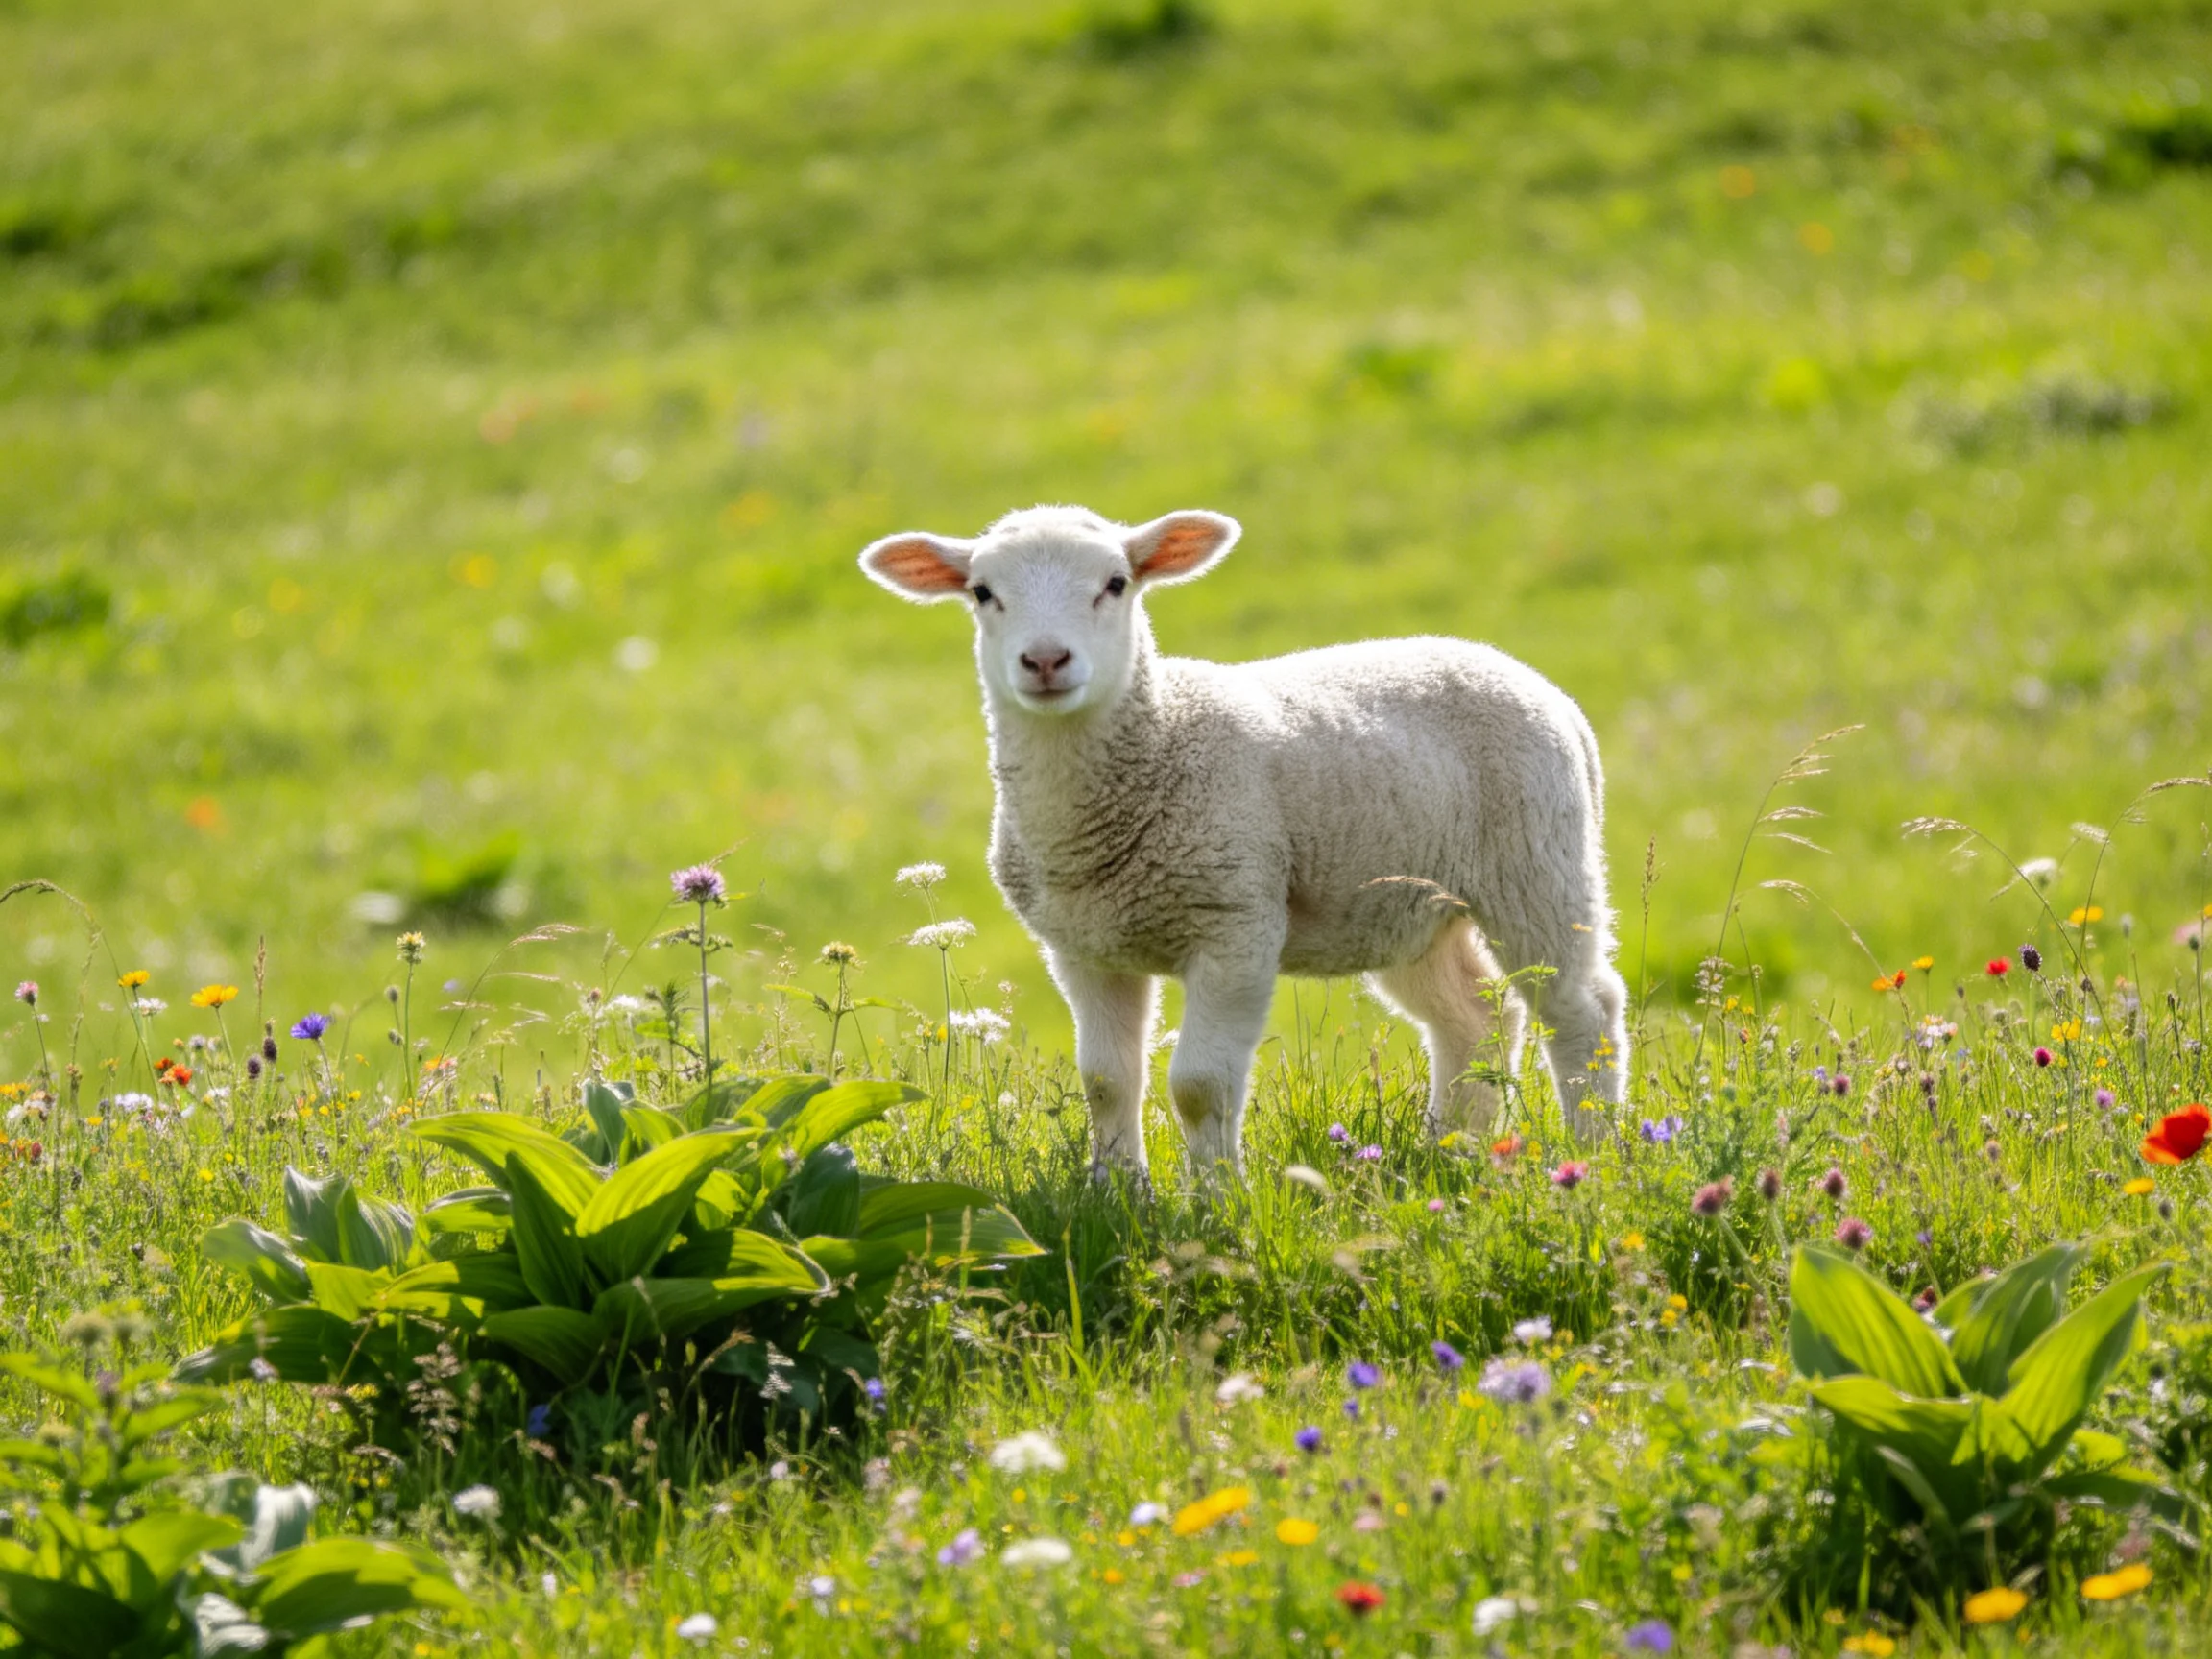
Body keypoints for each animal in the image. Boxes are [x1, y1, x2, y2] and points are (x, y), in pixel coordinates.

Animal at [858, 504, 1628, 1181]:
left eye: (1116, 582)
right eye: (983, 592)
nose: (1046, 660)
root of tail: (1543, 689)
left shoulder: (1235, 923)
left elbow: (1199, 1087)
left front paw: (1217, 1199)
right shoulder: (1084, 948)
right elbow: (1106, 1081)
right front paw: (1117, 1191)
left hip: (1538, 863)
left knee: (1582, 1011)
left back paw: (1597, 1152)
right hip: (1410, 907)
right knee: (1475, 1015)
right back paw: (1451, 1148)